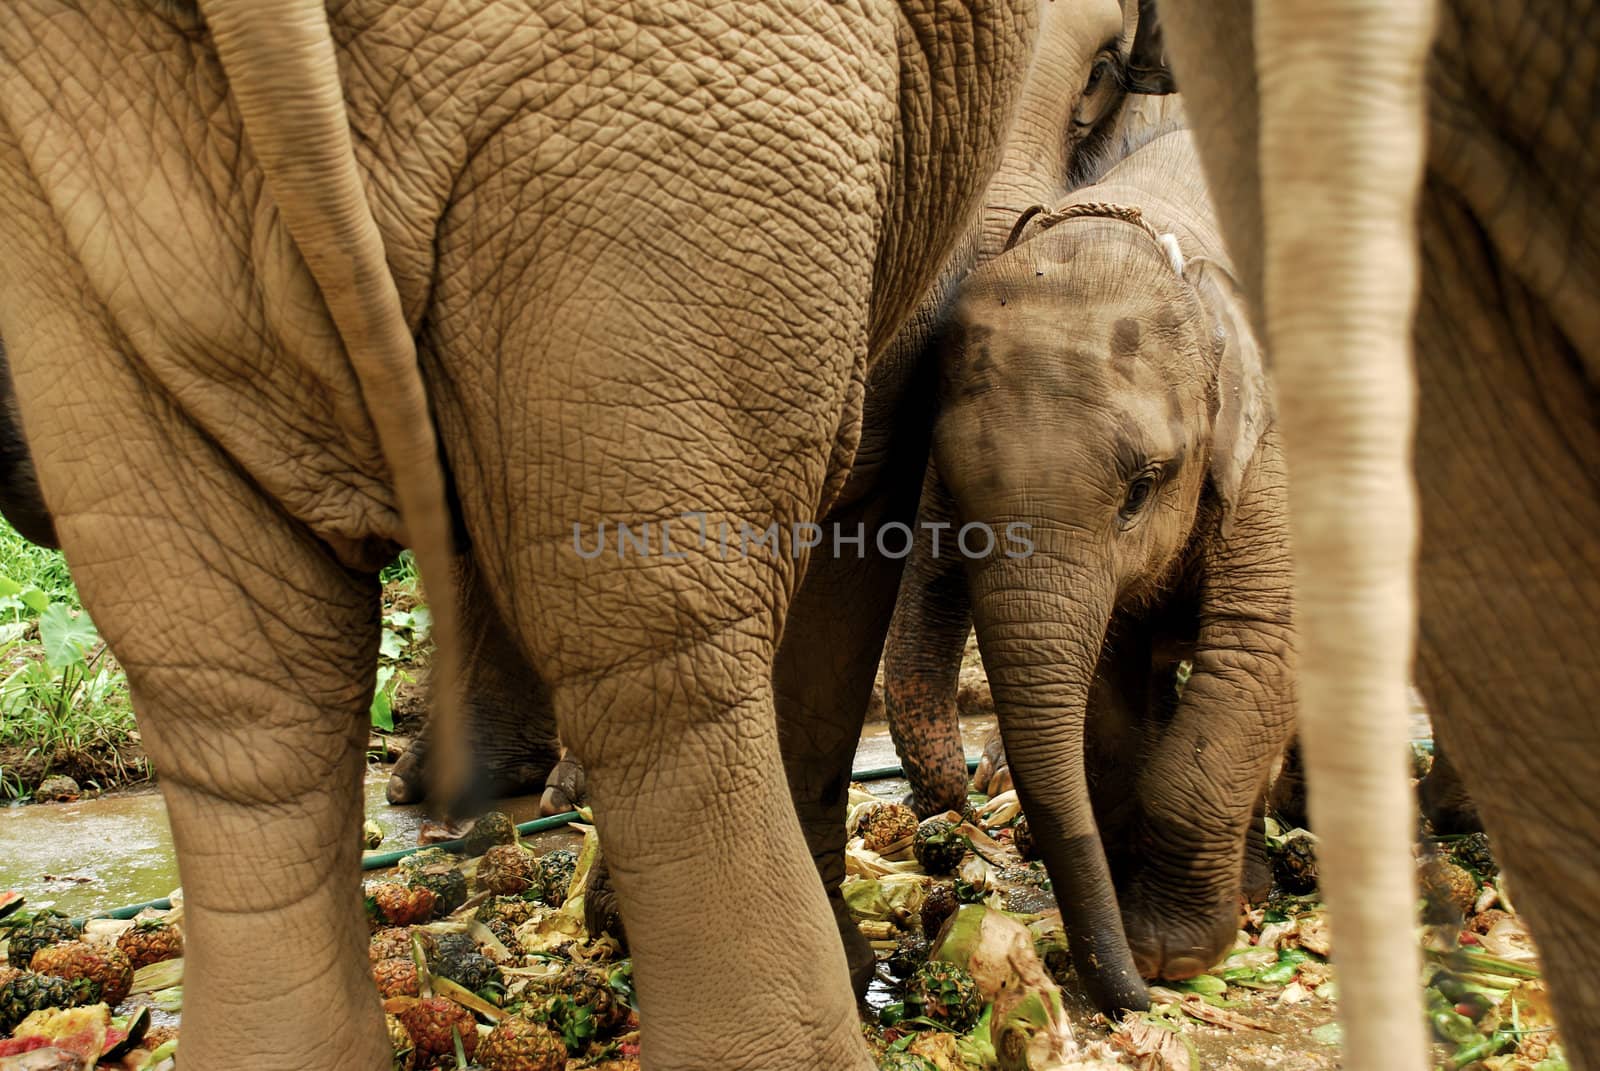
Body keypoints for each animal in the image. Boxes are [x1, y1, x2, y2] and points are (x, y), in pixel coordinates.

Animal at [0, 2, 1152, 1069]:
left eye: (1106, 71)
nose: (957, 796)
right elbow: (856, 481)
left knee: (253, 699)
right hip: (667, 119)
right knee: (657, 657)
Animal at [883, 115, 1305, 986]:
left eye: (1140, 489)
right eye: (953, 489)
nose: (1130, 996)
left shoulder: (1274, 455)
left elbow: (1258, 650)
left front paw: (1171, 953)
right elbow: (1111, 697)